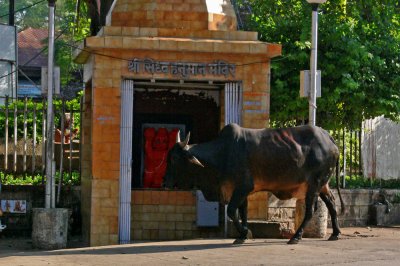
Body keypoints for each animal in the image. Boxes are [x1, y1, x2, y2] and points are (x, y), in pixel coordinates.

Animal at [162, 123, 344, 244]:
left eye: (175, 158)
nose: (164, 183)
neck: (222, 154)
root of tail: (328, 137)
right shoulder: (240, 190)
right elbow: (242, 212)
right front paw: (242, 236)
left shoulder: (243, 187)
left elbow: (232, 211)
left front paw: (245, 232)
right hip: (323, 185)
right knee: (332, 203)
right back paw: (335, 233)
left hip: (314, 183)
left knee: (311, 210)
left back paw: (296, 237)